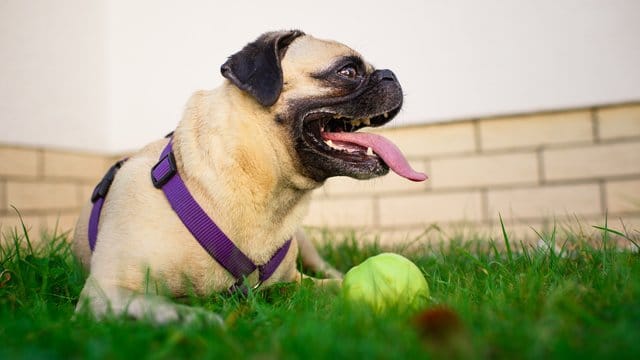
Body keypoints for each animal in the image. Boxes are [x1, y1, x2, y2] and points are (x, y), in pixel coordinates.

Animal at [72, 30, 424, 324]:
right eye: (348, 71)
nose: (391, 74)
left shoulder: (295, 281)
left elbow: (335, 285)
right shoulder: (109, 291)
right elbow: (168, 308)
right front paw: (200, 319)